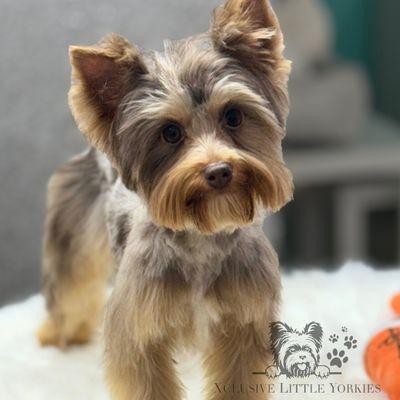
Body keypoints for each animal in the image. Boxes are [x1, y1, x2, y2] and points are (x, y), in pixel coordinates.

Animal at [37, 1, 294, 398]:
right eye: (170, 133)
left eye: (233, 115)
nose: (219, 171)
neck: (202, 237)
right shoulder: (138, 331)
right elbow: (146, 379)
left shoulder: (243, 322)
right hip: (72, 232)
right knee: (70, 285)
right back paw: (59, 335)